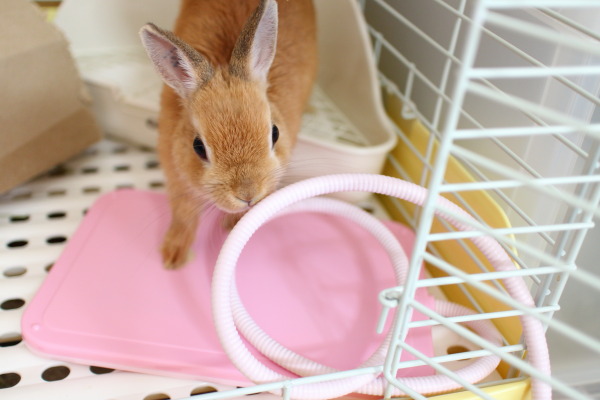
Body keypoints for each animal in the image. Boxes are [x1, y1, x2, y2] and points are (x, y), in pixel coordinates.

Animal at [139, 0, 318, 268]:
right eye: (198, 147)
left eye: (274, 133)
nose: (248, 194)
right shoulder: (177, 176)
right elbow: (184, 213)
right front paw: (174, 256)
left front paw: (234, 223)